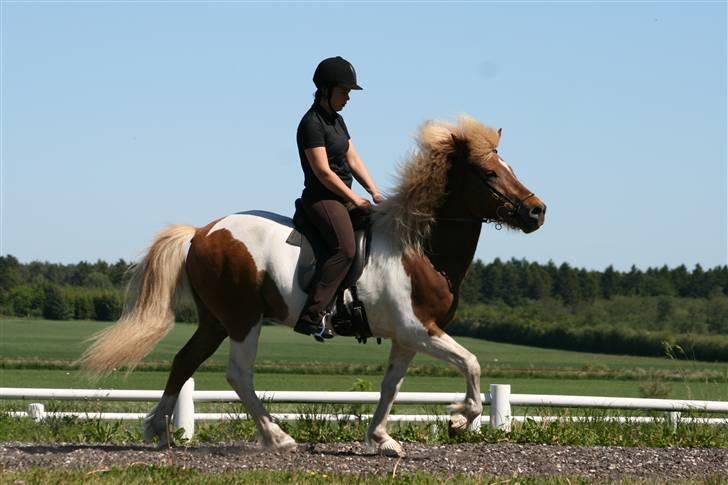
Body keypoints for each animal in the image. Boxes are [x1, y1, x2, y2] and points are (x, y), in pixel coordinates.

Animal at [79, 115, 544, 456]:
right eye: (489, 173)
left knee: (184, 361)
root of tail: (201, 232)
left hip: (215, 320)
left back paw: (158, 431)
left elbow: (390, 386)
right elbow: (472, 362)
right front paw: (459, 418)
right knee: (237, 373)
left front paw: (382, 439)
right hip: (243, 319)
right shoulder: (419, 330)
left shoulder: (406, 337)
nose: (538, 211)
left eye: (509, 168)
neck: (418, 247)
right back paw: (277, 438)